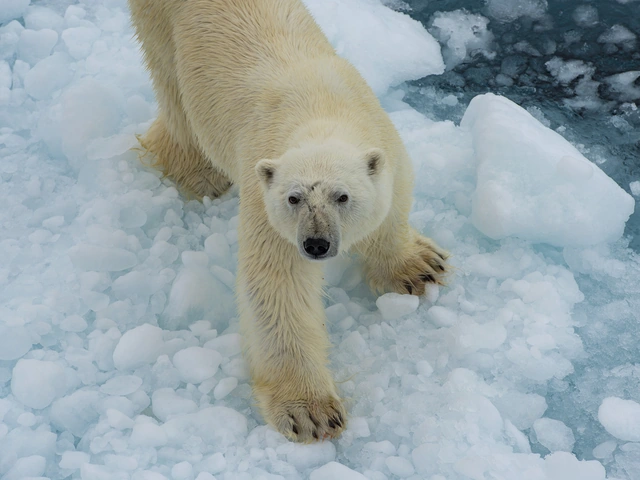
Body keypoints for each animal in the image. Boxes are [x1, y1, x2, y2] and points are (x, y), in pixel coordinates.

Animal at [128, 0, 449, 442]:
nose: (316, 244)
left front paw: (420, 267)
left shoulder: (387, 145)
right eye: (294, 198)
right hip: (160, 26)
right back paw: (197, 173)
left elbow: (391, 208)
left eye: (342, 196)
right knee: (174, 95)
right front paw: (310, 414)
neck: (320, 110)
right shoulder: (266, 197)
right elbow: (277, 286)